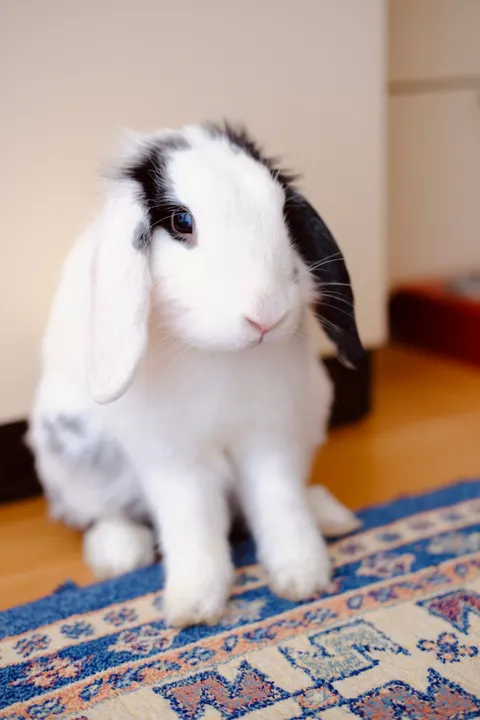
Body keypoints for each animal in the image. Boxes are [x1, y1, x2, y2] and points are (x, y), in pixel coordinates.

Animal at [29, 122, 363, 627]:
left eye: (283, 212)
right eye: (182, 222)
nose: (265, 315)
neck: (220, 355)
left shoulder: (272, 437)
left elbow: (279, 501)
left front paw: (303, 576)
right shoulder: (174, 458)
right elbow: (192, 522)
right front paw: (195, 605)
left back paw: (330, 515)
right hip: (70, 451)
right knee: (101, 511)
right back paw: (118, 553)